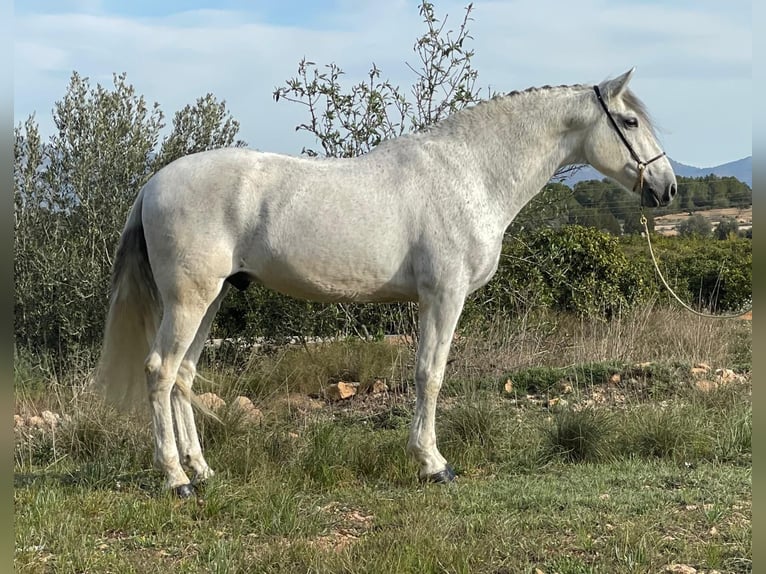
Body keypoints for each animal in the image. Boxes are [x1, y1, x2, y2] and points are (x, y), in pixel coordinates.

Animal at [96, 68, 680, 500]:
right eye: (629, 120)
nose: (667, 187)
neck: (469, 174)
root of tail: (153, 184)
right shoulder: (443, 296)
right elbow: (430, 375)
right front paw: (432, 464)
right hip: (189, 301)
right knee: (159, 371)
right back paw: (175, 479)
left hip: (211, 299)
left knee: (182, 376)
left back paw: (202, 471)